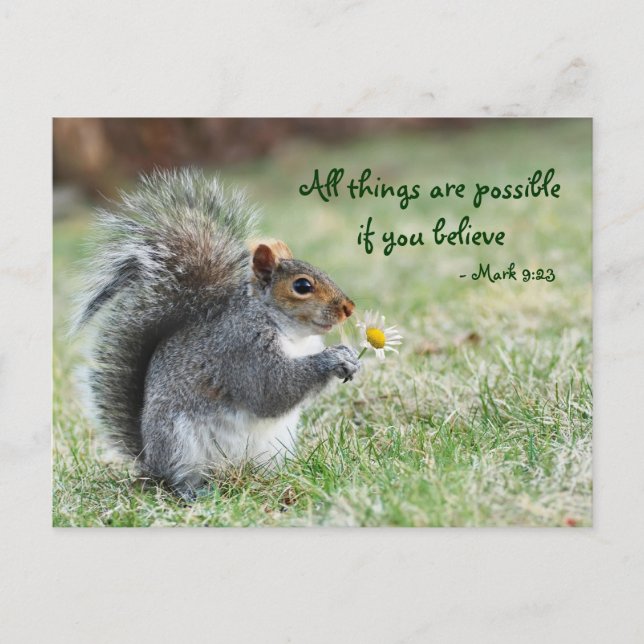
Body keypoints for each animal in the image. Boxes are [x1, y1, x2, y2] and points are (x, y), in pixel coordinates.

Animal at [75, 168, 359, 499]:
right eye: (302, 286)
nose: (349, 308)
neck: (291, 333)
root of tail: (148, 459)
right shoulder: (242, 349)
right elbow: (271, 389)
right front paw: (332, 359)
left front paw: (351, 357)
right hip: (180, 443)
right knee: (177, 479)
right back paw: (194, 492)